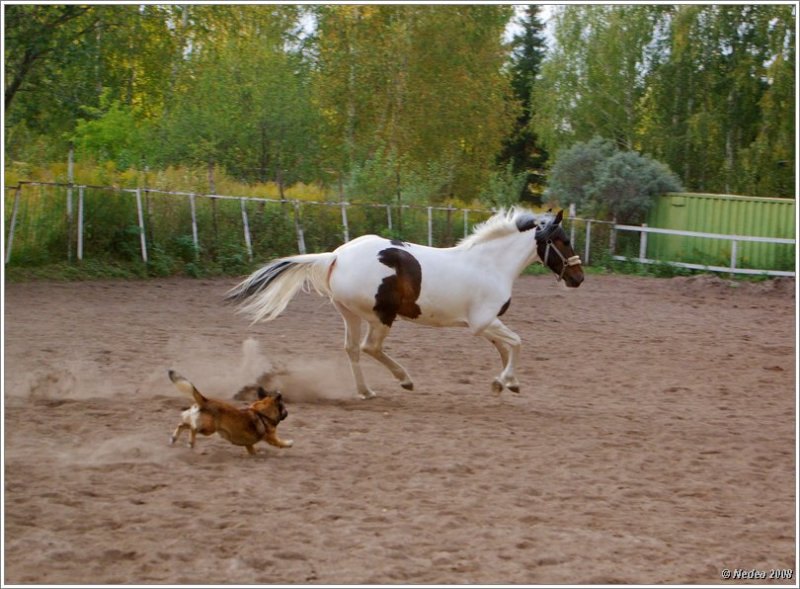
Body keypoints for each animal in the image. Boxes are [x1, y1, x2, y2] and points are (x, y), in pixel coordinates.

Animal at [228, 208, 584, 400]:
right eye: (564, 241)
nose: (578, 277)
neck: (490, 264)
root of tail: (336, 256)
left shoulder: (485, 325)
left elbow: (504, 349)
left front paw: (507, 383)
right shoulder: (483, 322)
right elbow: (517, 343)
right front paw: (503, 382)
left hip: (349, 314)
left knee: (352, 349)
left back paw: (366, 392)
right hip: (381, 316)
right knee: (370, 348)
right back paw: (405, 380)